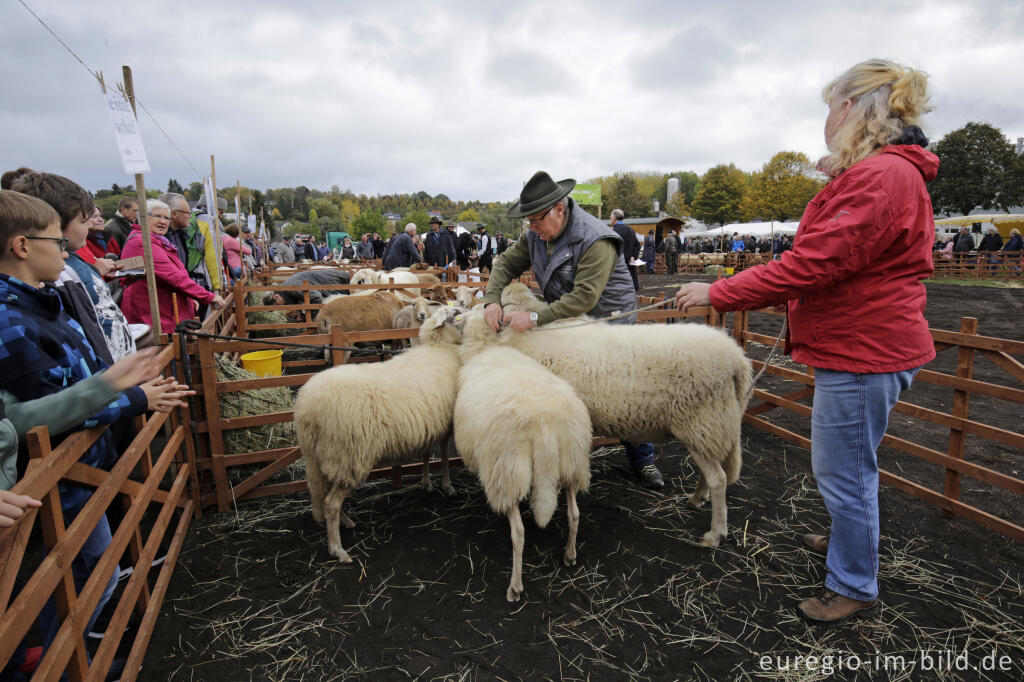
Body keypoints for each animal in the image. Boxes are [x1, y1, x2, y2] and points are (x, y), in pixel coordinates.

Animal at [292, 305, 460, 561]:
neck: (439, 349)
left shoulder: (428, 420)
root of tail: (307, 409)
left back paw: (345, 522)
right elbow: (443, 455)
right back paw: (338, 549)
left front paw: (426, 482)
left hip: (320, 456)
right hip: (349, 455)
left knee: (324, 494)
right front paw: (447, 485)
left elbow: (425, 453)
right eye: (454, 315)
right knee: (331, 502)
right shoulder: (446, 423)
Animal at [456, 311, 593, 598]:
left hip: (508, 471)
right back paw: (569, 555)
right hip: (573, 461)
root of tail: (545, 425)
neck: (486, 347)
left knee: (518, 532)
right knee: (574, 514)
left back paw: (515, 587)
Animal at [495, 280, 753, 548]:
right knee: (712, 471)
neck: (531, 332)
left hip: (701, 421)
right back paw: (697, 499)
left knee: (718, 478)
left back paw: (715, 533)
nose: (512, 284)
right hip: (708, 428)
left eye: (505, 303)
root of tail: (738, 360)